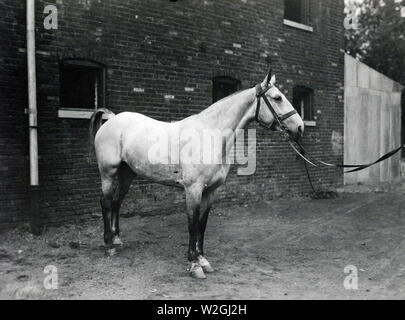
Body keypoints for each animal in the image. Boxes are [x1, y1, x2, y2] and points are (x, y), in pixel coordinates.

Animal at [89, 70, 304, 278]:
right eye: (277, 98)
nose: (300, 127)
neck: (210, 135)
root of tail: (112, 119)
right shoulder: (193, 189)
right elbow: (192, 224)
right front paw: (193, 264)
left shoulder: (211, 191)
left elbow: (202, 224)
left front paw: (203, 260)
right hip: (108, 172)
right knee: (106, 202)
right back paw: (108, 244)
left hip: (127, 173)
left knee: (117, 201)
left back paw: (117, 239)